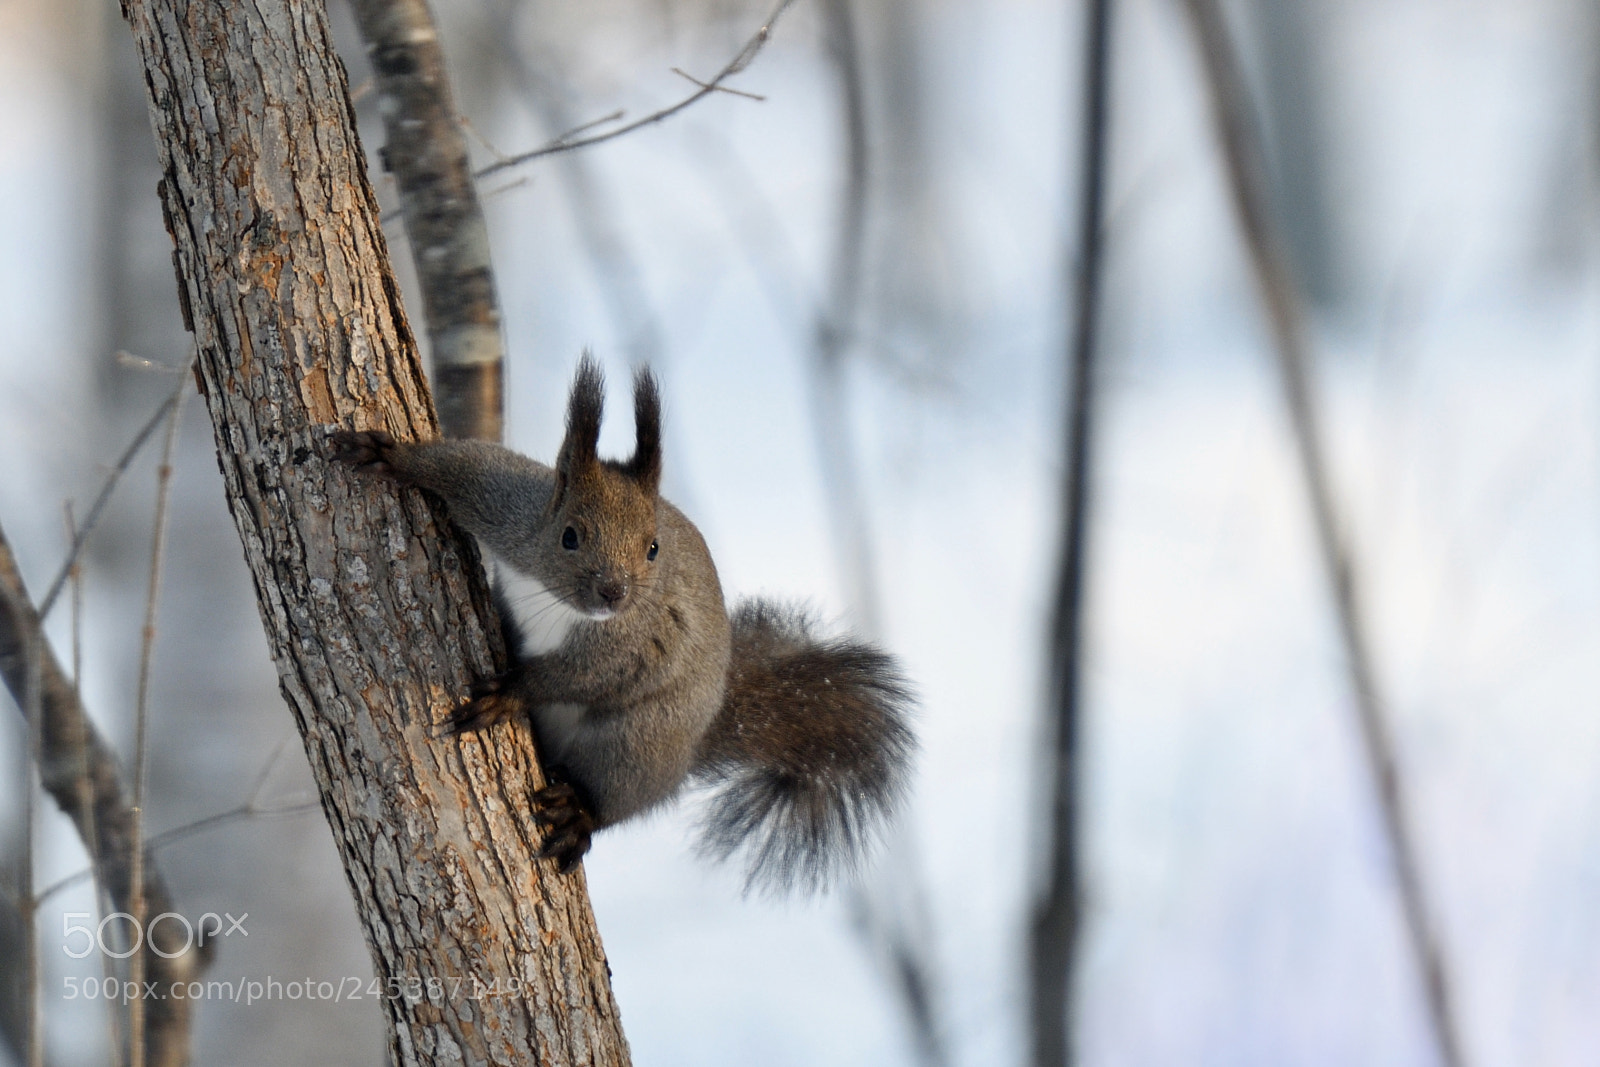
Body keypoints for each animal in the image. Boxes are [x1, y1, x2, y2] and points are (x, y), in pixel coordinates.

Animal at [329, 356, 914, 893]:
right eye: (569, 535)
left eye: (653, 549)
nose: (614, 593)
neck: (560, 600)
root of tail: (693, 743)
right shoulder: (512, 510)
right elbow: (465, 464)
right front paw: (391, 457)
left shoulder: (644, 638)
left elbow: (587, 673)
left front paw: (512, 693)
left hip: (638, 742)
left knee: (612, 794)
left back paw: (578, 816)